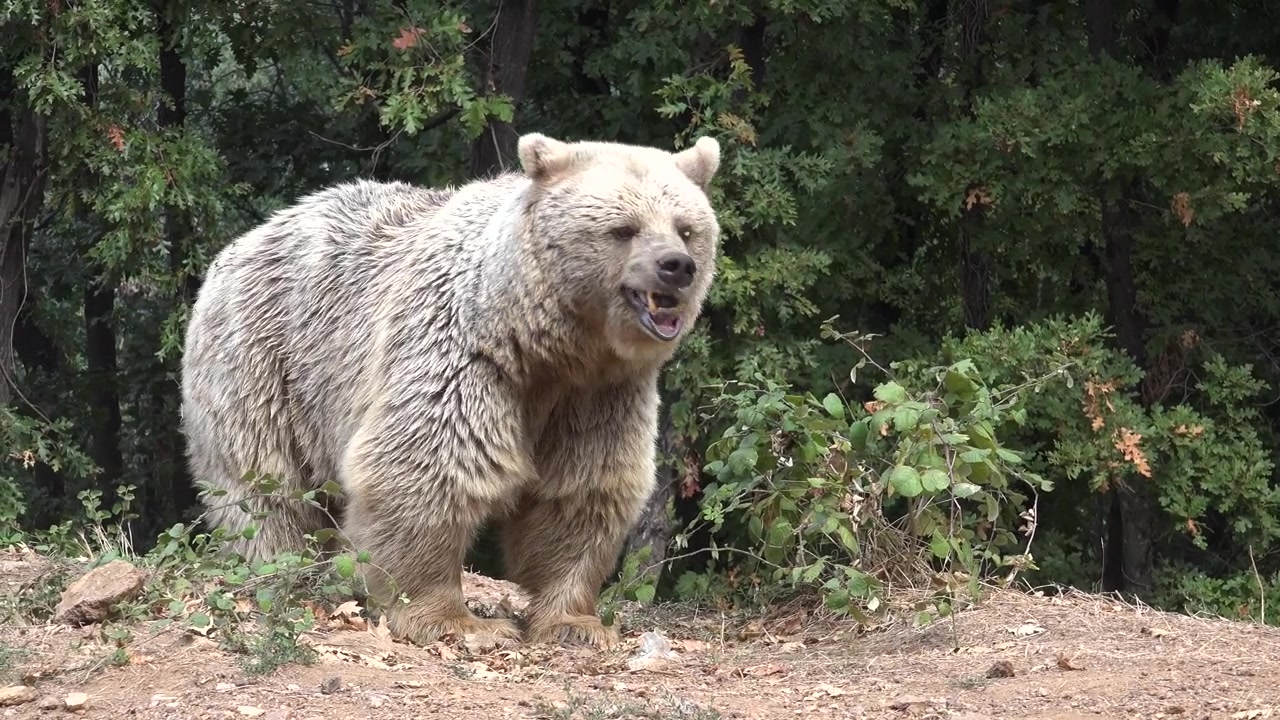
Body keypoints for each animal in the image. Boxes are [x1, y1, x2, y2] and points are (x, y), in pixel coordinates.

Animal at [179, 132, 722, 648]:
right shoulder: (457, 350)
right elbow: (428, 466)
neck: (541, 344)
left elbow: (581, 489)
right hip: (266, 358)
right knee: (264, 486)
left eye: (686, 228)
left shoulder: (598, 393)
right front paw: (459, 621)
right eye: (624, 228)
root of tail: (243, 242)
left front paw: (576, 622)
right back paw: (281, 570)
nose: (676, 265)